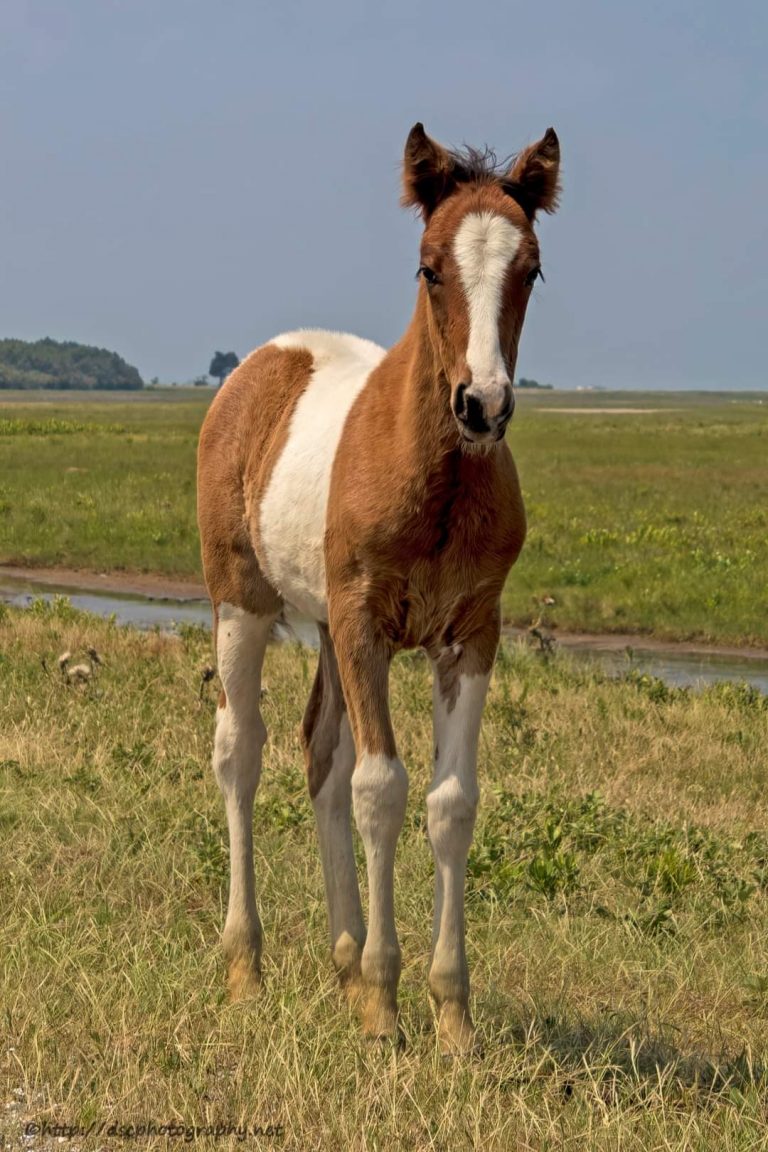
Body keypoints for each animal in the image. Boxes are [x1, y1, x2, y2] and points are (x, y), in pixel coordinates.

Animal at [197, 121, 560, 1053]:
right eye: (429, 266)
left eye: (531, 269)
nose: (482, 405)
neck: (439, 482)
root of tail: (266, 358)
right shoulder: (366, 626)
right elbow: (381, 789)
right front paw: (387, 1009)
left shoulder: (469, 635)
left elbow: (449, 802)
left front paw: (449, 1013)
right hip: (241, 600)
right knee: (241, 751)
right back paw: (246, 968)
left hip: (326, 626)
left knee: (319, 754)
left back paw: (343, 962)